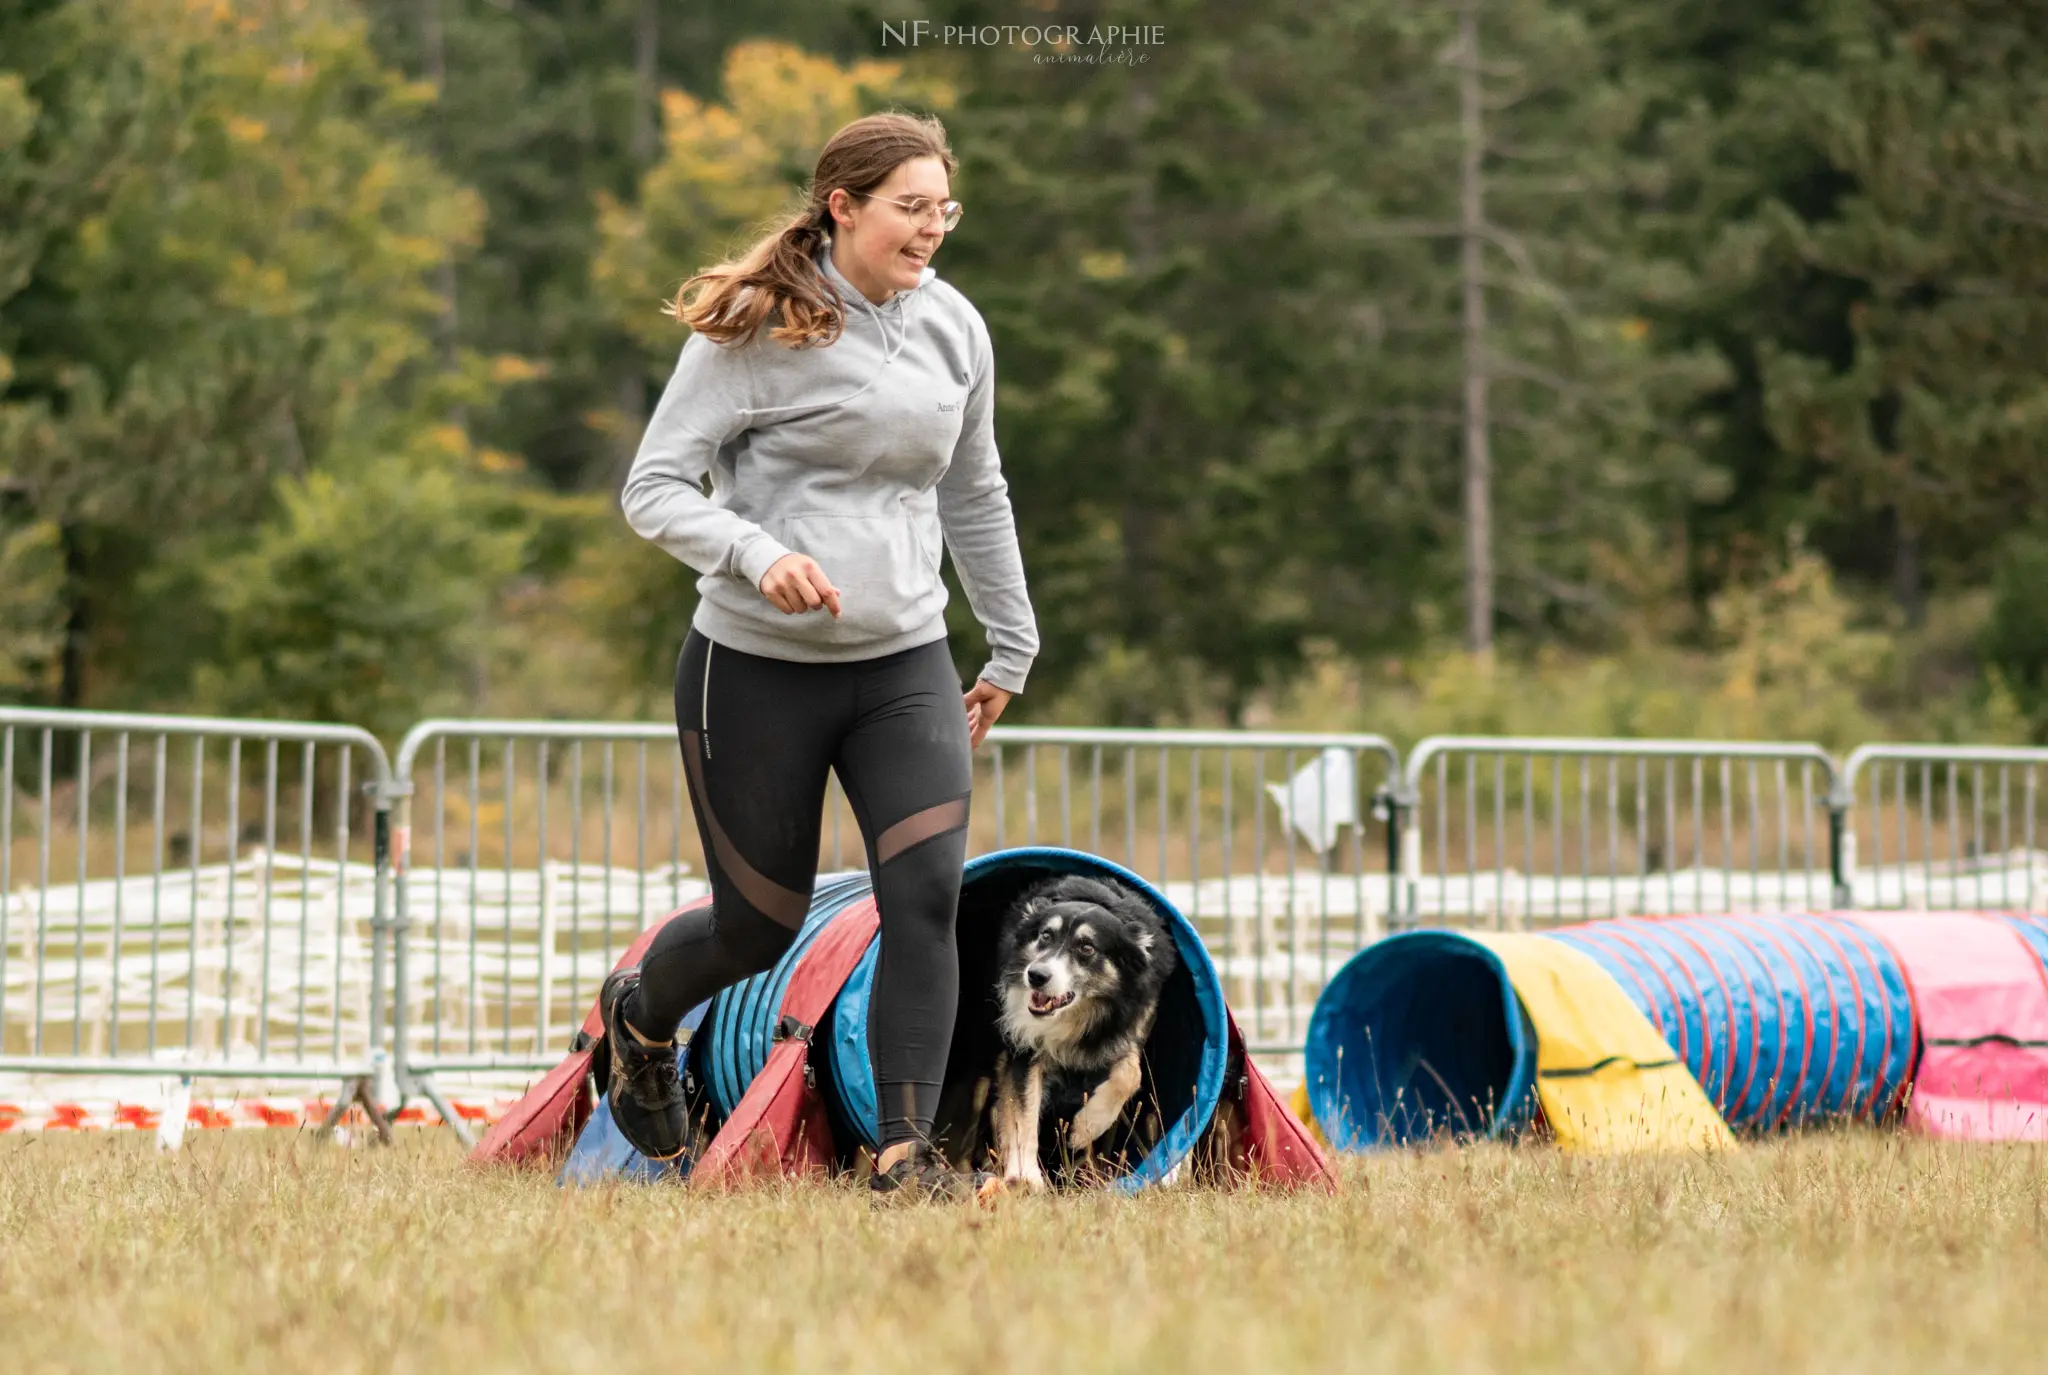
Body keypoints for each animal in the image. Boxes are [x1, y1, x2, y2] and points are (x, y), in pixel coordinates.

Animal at [987, 877, 1179, 1188]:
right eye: (1046, 936)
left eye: (1087, 948)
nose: (1036, 976)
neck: (1080, 1013)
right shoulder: (1025, 1049)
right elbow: (1024, 1114)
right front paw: (1026, 1176)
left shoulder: (1129, 1030)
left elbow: (1130, 1074)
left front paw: (1084, 1128)